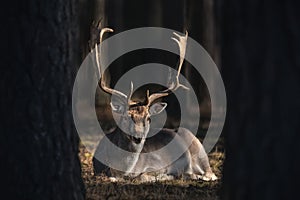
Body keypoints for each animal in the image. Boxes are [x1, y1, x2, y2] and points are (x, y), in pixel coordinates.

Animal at [92, 27, 217, 182]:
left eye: (148, 118)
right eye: (126, 117)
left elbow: (142, 176)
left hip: (199, 149)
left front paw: (162, 176)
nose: (138, 137)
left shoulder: (155, 162)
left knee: (209, 173)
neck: (122, 170)